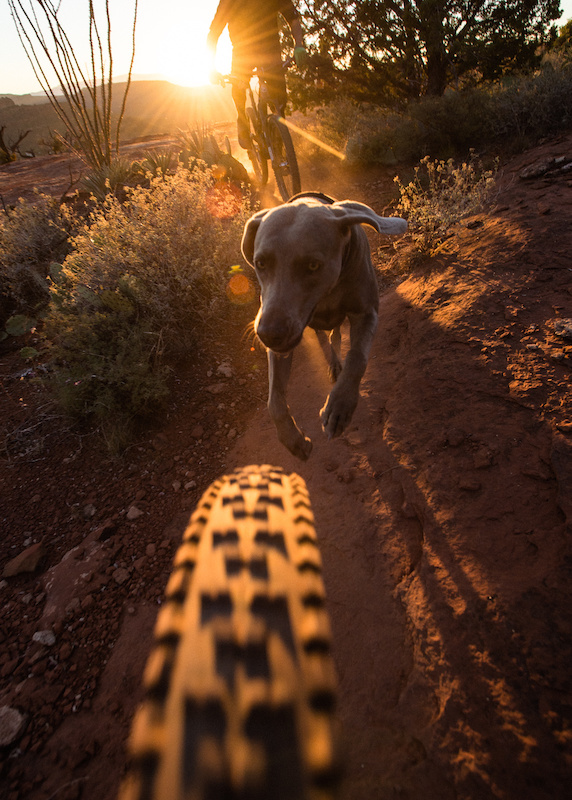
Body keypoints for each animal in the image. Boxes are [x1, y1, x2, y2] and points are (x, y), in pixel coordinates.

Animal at [241, 190, 406, 460]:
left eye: (313, 265)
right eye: (261, 263)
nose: (268, 334)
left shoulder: (367, 312)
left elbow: (357, 358)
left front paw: (339, 407)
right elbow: (274, 399)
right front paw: (293, 439)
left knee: (335, 336)